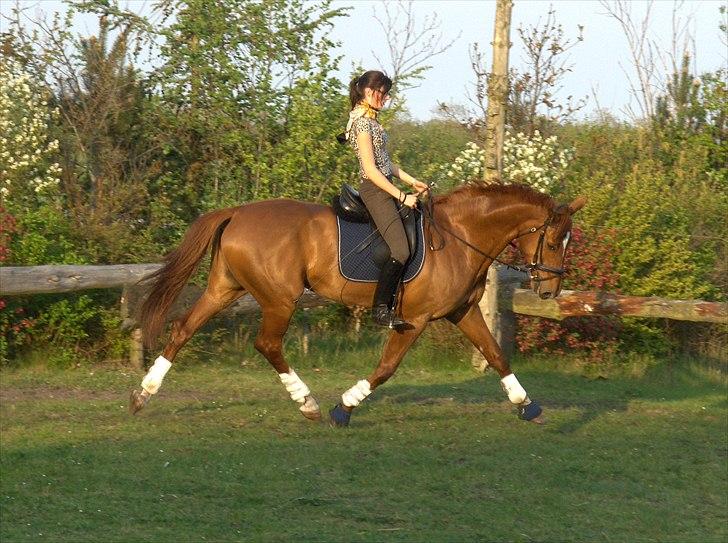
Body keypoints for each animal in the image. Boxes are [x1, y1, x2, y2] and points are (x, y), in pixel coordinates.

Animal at [131, 185, 584, 428]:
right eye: (553, 239)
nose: (550, 291)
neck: (459, 237)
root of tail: (238, 212)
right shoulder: (414, 320)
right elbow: (386, 368)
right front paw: (343, 408)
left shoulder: (463, 312)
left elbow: (495, 355)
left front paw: (528, 406)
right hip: (279, 298)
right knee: (267, 344)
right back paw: (308, 403)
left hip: (224, 289)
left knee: (183, 329)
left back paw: (143, 395)